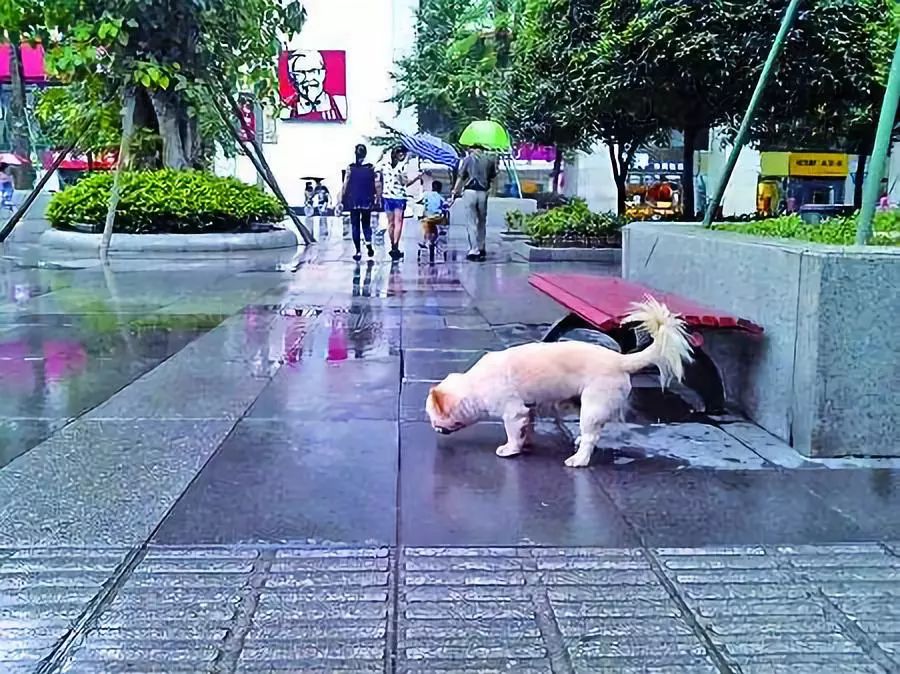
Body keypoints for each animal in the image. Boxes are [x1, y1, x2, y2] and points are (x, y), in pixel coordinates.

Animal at [426, 296, 692, 464]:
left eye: (433, 416)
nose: (433, 428)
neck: (473, 387)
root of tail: (621, 360)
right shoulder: (528, 410)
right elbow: (526, 429)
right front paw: (525, 443)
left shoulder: (512, 412)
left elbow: (512, 433)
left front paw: (511, 449)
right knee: (594, 432)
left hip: (591, 406)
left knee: (591, 437)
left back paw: (579, 459)